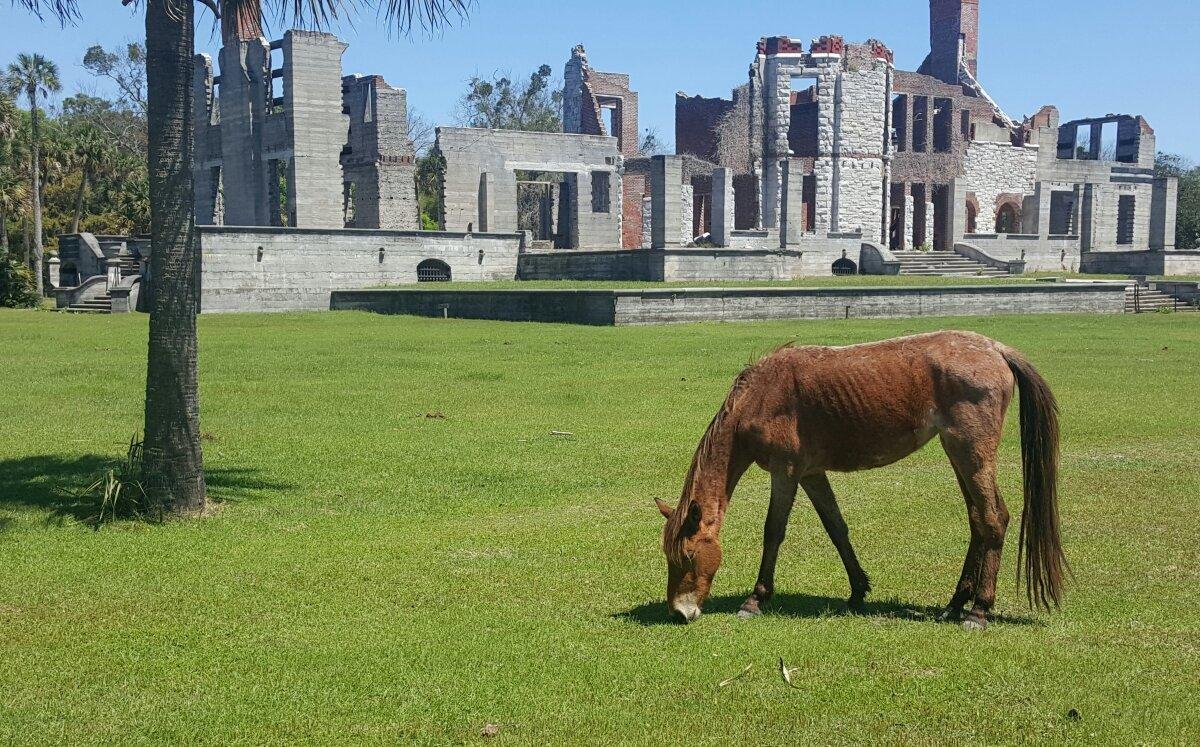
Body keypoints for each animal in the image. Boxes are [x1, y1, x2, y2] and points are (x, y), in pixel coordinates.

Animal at [657, 331, 1070, 629]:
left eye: (688, 556)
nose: (679, 611)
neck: (761, 396)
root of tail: (996, 349)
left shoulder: (785, 471)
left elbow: (773, 531)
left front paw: (755, 599)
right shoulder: (811, 473)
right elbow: (836, 527)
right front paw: (858, 590)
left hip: (971, 452)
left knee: (992, 519)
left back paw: (978, 610)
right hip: (959, 454)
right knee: (977, 522)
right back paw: (955, 604)